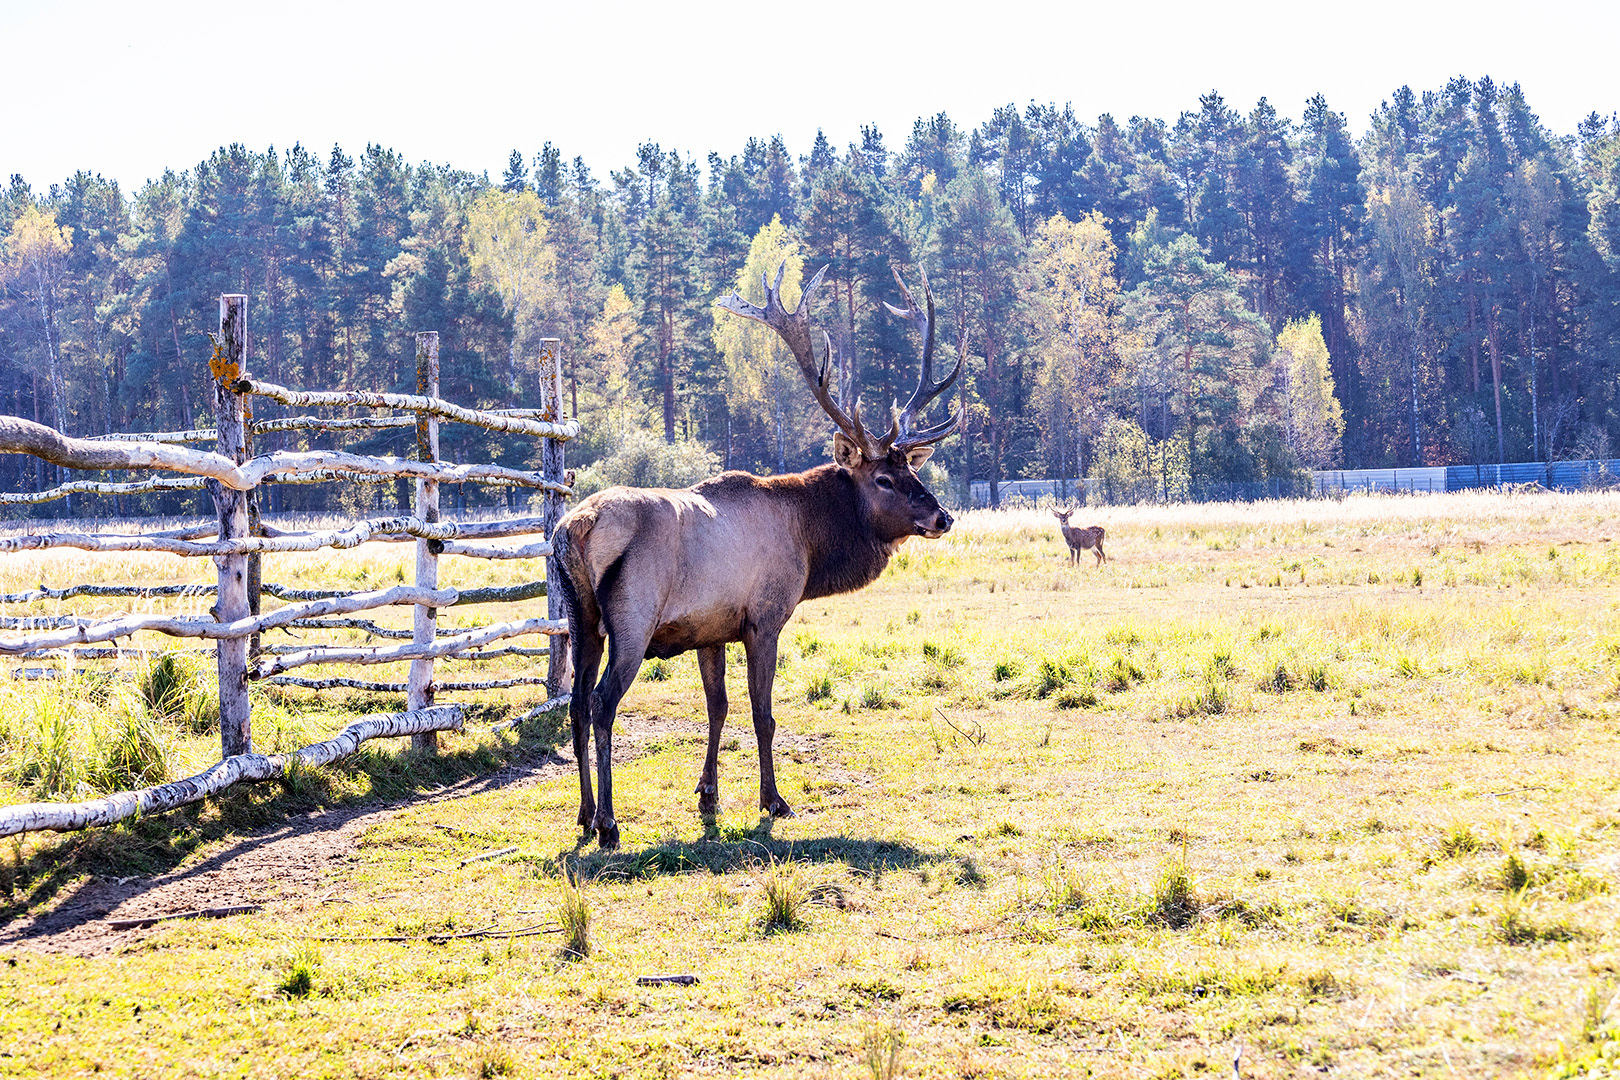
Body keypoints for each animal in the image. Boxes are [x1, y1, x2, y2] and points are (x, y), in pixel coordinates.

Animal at [554, 265, 959, 848]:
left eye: (913, 470)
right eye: (884, 478)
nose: (942, 516)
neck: (809, 544)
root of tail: (575, 527)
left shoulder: (709, 629)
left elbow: (718, 707)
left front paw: (708, 794)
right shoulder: (764, 618)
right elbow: (763, 714)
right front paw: (774, 800)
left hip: (580, 617)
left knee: (577, 702)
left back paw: (585, 813)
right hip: (631, 619)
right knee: (604, 702)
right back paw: (609, 821)